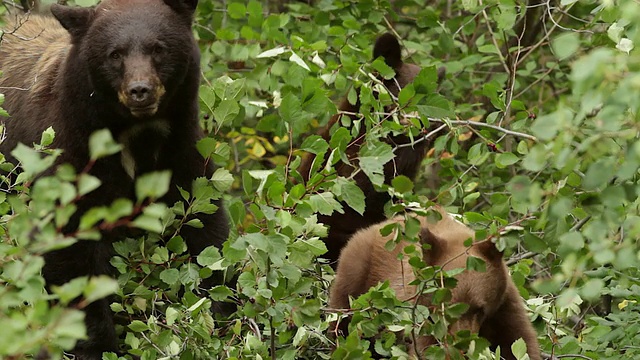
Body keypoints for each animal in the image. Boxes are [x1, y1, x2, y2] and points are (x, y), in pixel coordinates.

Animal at [0, 0, 230, 358]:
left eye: (158, 48)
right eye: (115, 54)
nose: (140, 90)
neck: (137, 135)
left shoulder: (182, 155)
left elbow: (206, 230)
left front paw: (217, 318)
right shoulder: (70, 159)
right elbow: (70, 255)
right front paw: (96, 344)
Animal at [330, 208, 540, 360]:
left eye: (479, 310)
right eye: (445, 309)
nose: (462, 346)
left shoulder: (503, 306)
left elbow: (519, 342)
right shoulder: (425, 315)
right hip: (355, 277)